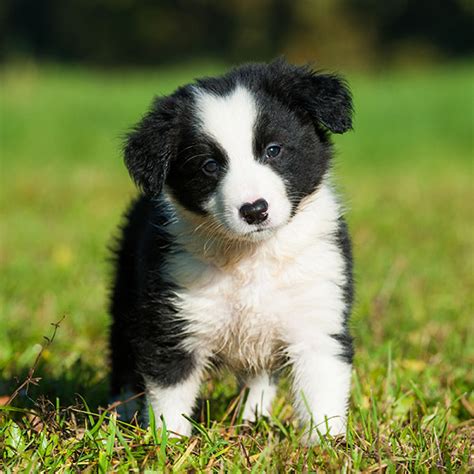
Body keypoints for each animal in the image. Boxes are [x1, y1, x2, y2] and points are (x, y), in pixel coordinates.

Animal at [110, 59, 352, 444]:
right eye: (209, 165)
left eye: (273, 150)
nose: (254, 210)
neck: (251, 257)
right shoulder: (172, 320)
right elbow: (170, 393)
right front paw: (169, 446)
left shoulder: (318, 312)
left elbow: (322, 390)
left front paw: (326, 445)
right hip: (126, 296)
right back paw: (121, 413)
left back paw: (253, 419)